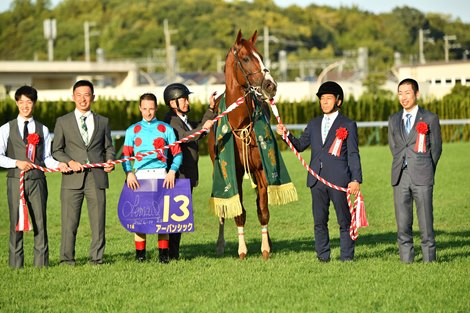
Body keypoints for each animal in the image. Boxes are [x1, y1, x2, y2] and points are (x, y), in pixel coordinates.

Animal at [207, 29, 278, 258]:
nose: (270, 85)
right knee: (223, 207)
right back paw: (220, 244)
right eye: (245, 58)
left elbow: (262, 210)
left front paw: (266, 247)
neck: (240, 122)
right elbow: (238, 211)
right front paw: (242, 249)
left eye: (261, 56)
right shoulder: (233, 172)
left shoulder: (261, 169)